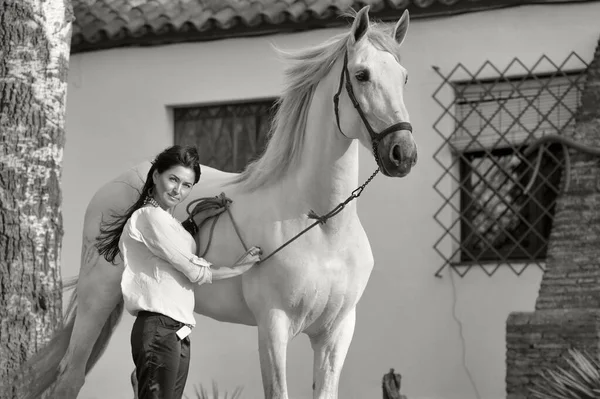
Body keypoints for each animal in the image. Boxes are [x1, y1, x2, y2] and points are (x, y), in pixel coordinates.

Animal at [15, 6, 418, 399]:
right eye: (362, 75)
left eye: (404, 78)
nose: (403, 154)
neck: (320, 223)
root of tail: (111, 187)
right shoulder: (273, 326)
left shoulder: (336, 333)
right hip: (96, 298)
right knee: (69, 380)